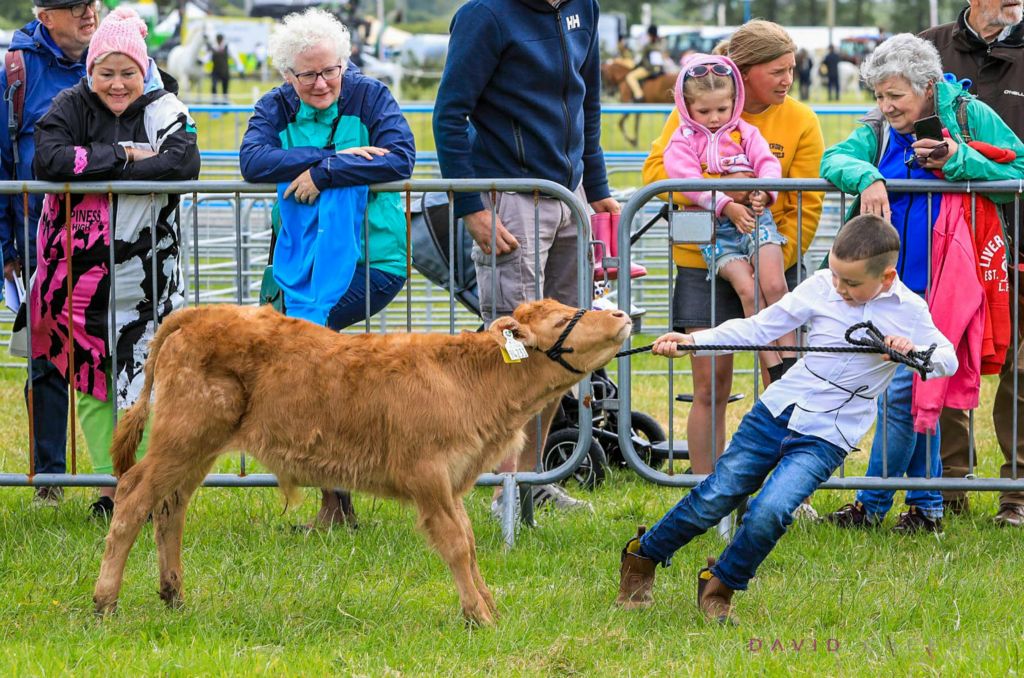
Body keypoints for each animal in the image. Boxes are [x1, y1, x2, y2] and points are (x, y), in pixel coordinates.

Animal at [92, 300, 632, 625]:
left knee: (170, 508)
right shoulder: (429, 478)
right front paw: (478, 616)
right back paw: (105, 602)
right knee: (134, 497)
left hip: (195, 449)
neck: (467, 380)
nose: (622, 315)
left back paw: (174, 596)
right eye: (562, 321)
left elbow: (471, 543)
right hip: (182, 437)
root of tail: (199, 313)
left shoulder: (452, 483)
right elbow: (457, 545)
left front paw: (488, 607)